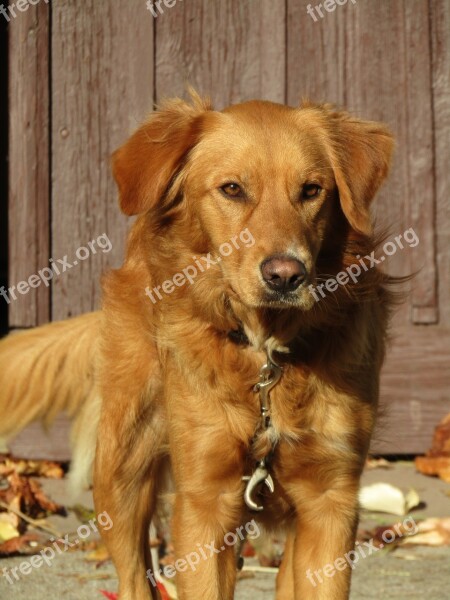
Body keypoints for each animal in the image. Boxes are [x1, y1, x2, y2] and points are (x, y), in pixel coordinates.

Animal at [0, 91, 394, 596]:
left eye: (311, 190)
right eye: (232, 189)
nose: (286, 275)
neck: (265, 357)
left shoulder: (330, 503)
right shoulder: (204, 503)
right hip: (122, 469)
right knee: (135, 576)